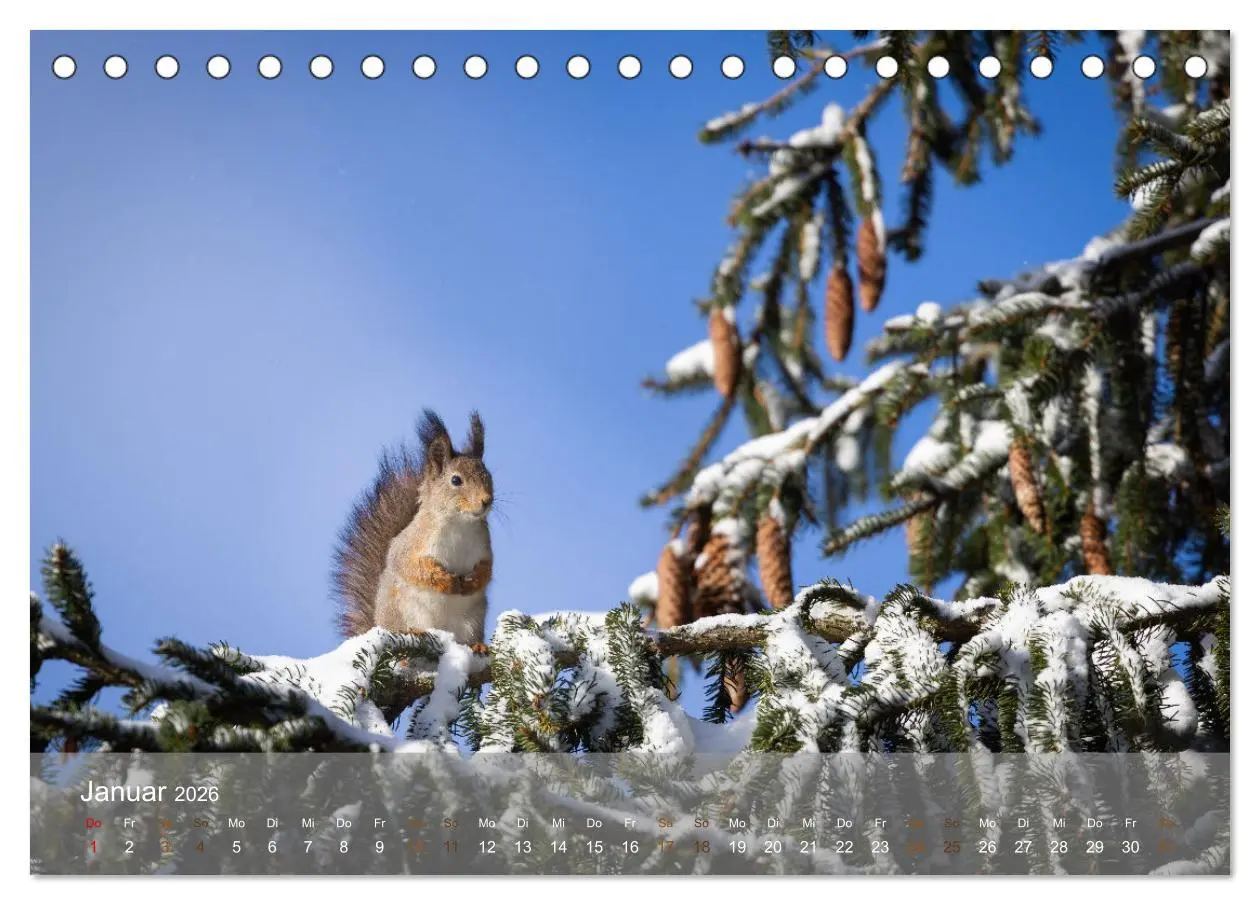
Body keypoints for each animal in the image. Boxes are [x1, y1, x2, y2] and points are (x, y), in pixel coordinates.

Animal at [333, 410, 494, 649]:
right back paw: (416, 633)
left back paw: (478, 646)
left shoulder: (485, 546)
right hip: (408, 611)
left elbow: (487, 568)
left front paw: (474, 581)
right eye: (456, 480)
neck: (459, 524)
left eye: (488, 475)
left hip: (472, 622)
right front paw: (445, 581)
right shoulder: (411, 544)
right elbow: (411, 566)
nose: (487, 500)